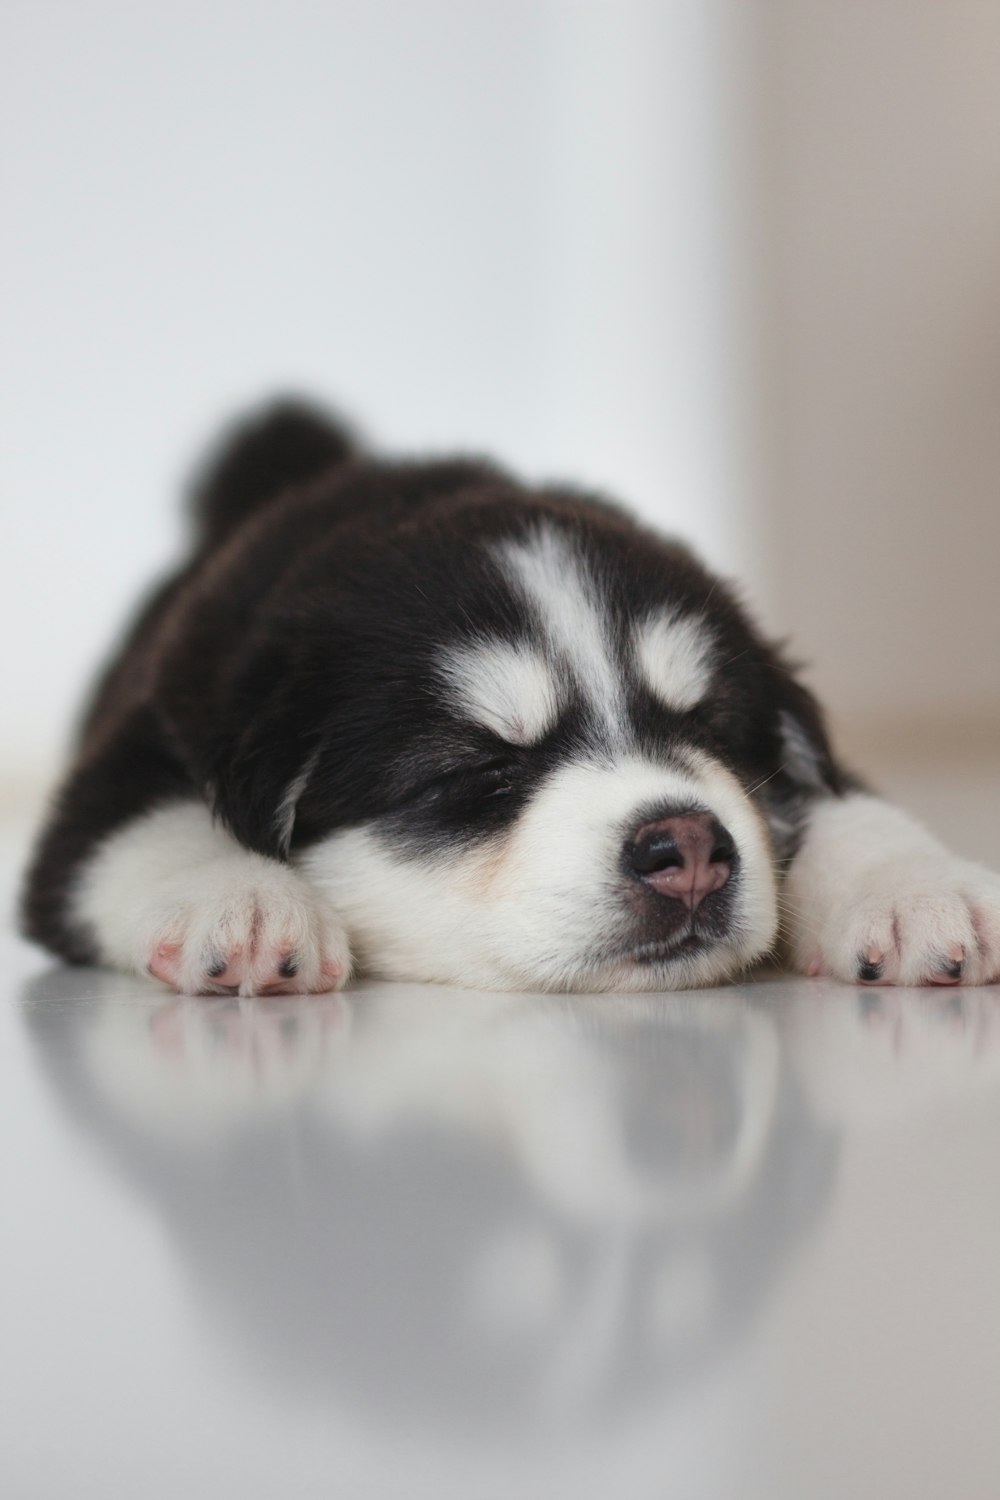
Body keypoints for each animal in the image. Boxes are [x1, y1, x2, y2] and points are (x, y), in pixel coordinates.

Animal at [21, 399, 1000, 996]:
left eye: (714, 733)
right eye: (480, 770)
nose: (687, 847)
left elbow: (845, 802)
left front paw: (916, 890)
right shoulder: (142, 738)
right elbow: (153, 823)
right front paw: (242, 902)